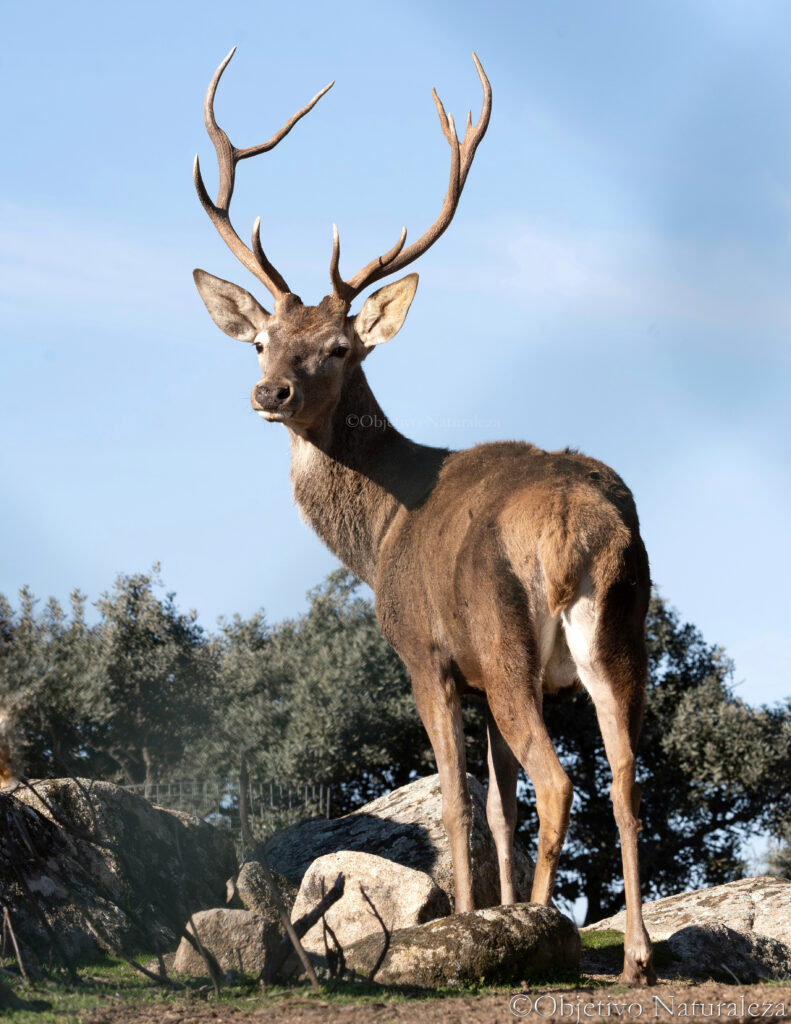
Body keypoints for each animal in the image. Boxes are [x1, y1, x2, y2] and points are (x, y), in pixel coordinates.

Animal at [192, 48, 656, 986]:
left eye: (339, 347)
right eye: (261, 341)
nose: (271, 393)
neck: (376, 539)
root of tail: (585, 531)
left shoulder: (428, 654)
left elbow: (454, 806)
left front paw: (477, 921)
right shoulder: (484, 676)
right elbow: (498, 808)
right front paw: (499, 914)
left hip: (506, 636)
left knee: (562, 782)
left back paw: (552, 934)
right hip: (621, 632)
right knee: (625, 775)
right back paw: (632, 955)